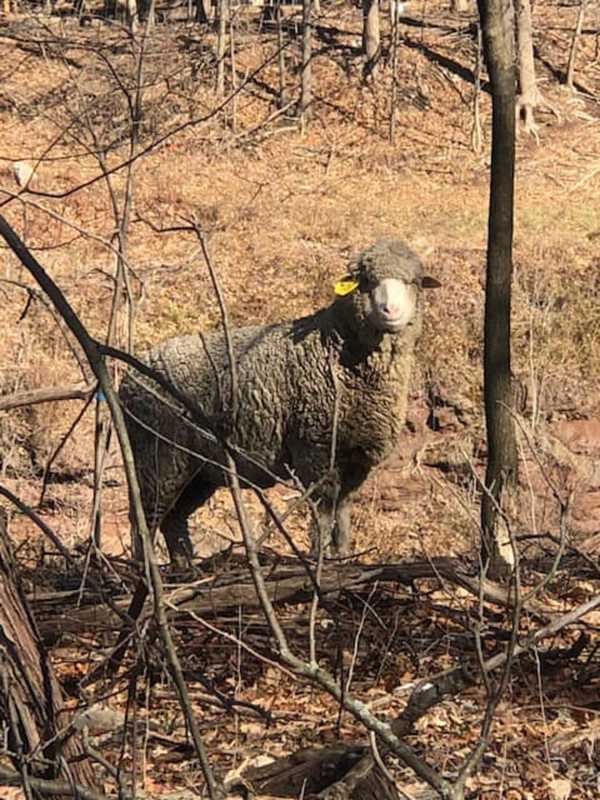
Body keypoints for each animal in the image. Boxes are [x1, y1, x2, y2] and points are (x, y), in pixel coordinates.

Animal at [120, 239, 440, 568]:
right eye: (366, 281)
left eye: (414, 282)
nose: (390, 310)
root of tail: (132, 374)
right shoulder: (315, 448)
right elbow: (323, 511)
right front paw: (319, 559)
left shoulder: (356, 456)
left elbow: (343, 510)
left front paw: (343, 556)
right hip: (157, 455)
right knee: (144, 517)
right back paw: (145, 570)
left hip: (198, 469)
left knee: (174, 519)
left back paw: (184, 569)